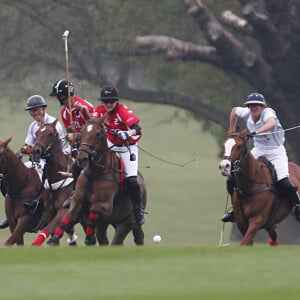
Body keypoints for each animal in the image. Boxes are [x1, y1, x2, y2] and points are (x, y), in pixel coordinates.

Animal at [47, 117, 147, 246]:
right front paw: (54, 239)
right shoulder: (77, 200)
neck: (95, 173)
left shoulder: (104, 206)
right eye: (82, 131)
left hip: (127, 221)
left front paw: (89, 238)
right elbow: (69, 216)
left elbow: (93, 211)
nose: (82, 158)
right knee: (108, 240)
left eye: (98, 134)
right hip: (112, 222)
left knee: (122, 239)